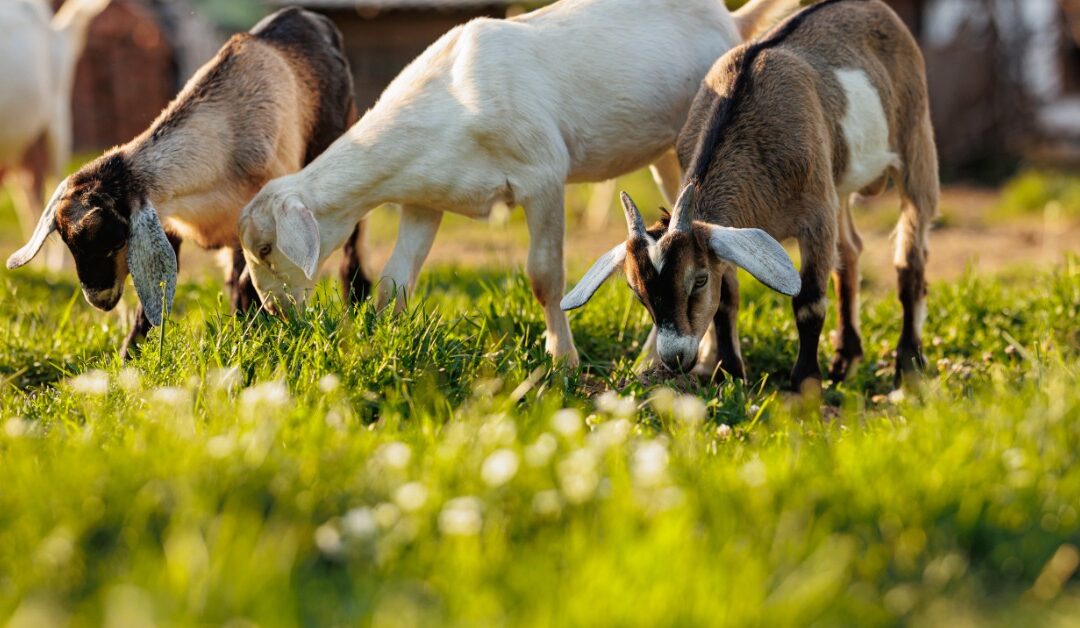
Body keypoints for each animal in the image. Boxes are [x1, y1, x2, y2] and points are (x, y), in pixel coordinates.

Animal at [235, 0, 802, 367]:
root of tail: (731, 19)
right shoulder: (425, 199)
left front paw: (563, 360)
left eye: (264, 248)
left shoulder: (542, 177)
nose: (274, 312)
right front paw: (381, 345)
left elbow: (544, 276)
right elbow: (396, 280)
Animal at [563, 0, 939, 391]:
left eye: (698, 280)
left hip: (915, 140)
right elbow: (727, 302)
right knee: (849, 252)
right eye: (638, 292)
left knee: (910, 259)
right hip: (840, 181)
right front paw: (730, 375)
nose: (675, 359)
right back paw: (845, 361)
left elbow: (809, 302)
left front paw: (804, 386)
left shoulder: (816, 215)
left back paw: (908, 366)